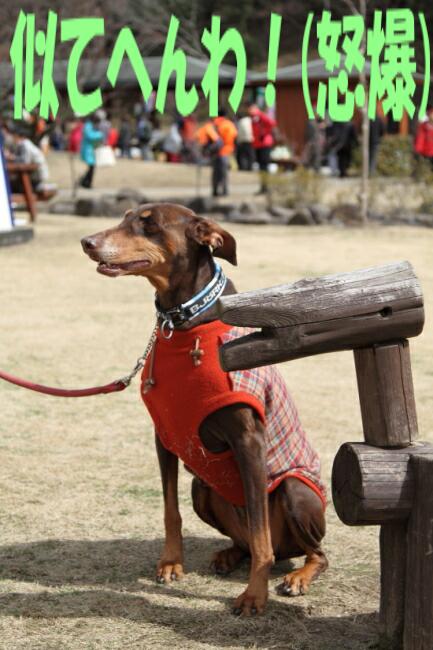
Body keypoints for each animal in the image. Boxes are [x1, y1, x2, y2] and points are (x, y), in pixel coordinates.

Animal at [81, 202, 326, 612]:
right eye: (125, 216)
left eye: (149, 223)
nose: (87, 241)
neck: (184, 324)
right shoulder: (164, 436)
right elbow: (170, 510)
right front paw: (170, 564)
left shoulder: (250, 441)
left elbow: (260, 534)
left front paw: (254, 596)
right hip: (202, 487)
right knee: (248, 541)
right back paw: (228, 555)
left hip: (296, 492)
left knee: (309, 551)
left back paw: (297, 576)